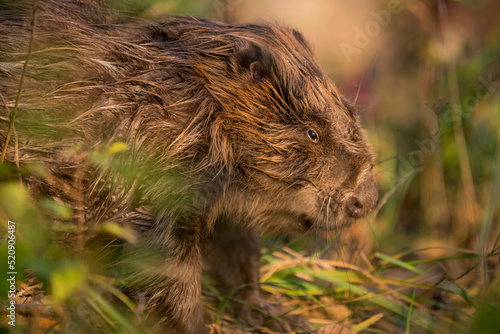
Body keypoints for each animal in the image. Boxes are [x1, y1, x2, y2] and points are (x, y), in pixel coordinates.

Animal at [0, 1, 376, 332]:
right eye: (312, 132)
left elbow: (235, 247)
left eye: (352, 118)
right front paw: (197, 325)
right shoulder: (149, 160)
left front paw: (273, 315)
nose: (366, 200)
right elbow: (163, 259)